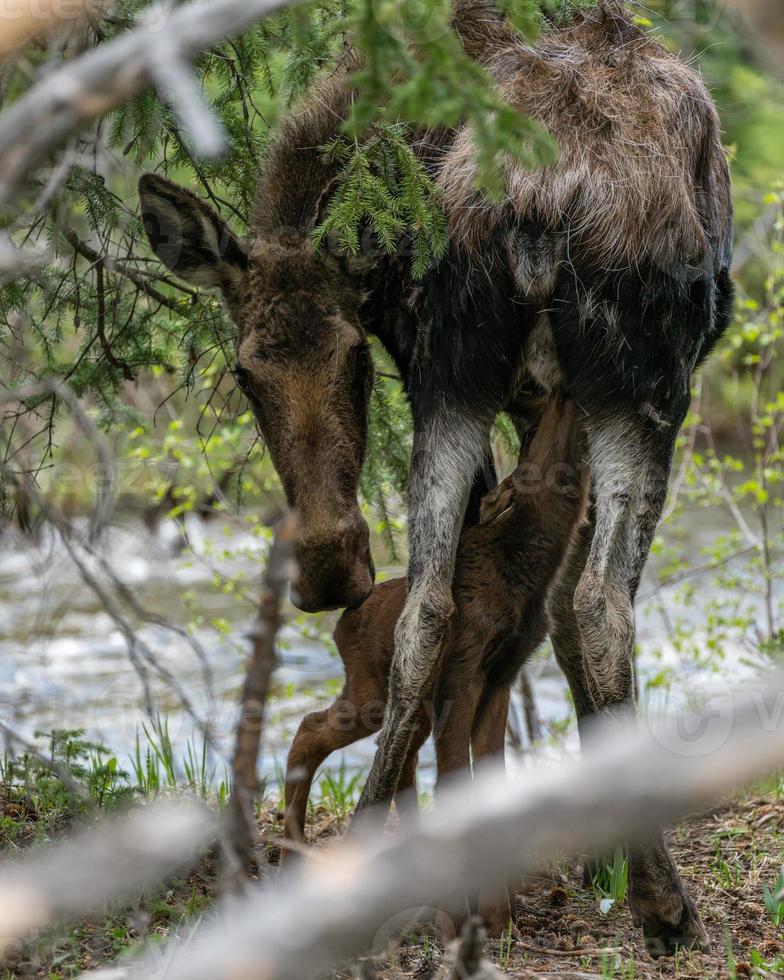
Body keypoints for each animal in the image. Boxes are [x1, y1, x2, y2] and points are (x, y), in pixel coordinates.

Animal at [284, 394, 584, 932]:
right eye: (529, 436)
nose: (561, 394)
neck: (528, 581)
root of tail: (342, 622)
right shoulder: (463, 671)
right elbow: (454, 780)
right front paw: (463, 920)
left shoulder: (502, 675)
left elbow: (490, 777)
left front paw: (499, 917)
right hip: (374, 692)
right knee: (312, 728)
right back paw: (290, 851)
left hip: (409, 703)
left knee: (391, 760)